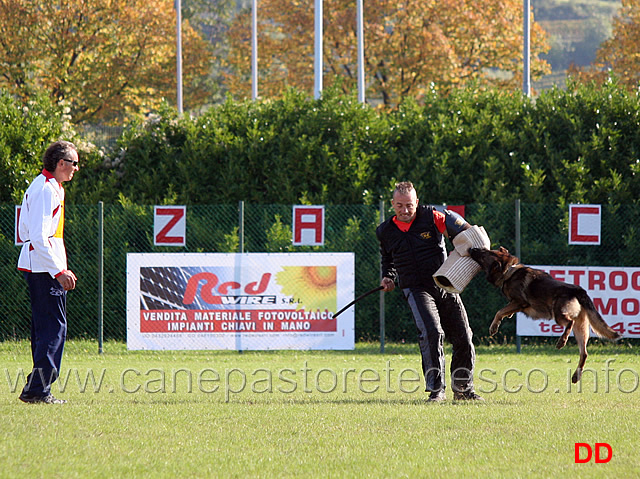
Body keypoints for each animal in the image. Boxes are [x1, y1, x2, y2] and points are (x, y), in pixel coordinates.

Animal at [470, 248, 620, 382]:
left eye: (484, 253)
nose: (472, 248)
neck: (509, 271)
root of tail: (579, 291)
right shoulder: (516, 304)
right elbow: (505, 311)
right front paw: (506, 317)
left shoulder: (519, 301)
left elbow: (499, 312)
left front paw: (494, 326)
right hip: (581, 329)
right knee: (584, 353)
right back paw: (576, 376)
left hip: (558, 315)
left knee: (569, 323)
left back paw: (562, 341)